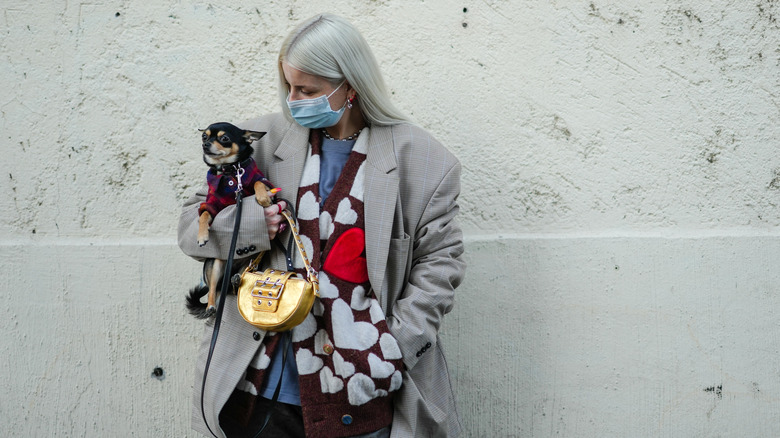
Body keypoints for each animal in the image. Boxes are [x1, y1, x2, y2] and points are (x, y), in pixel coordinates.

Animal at [187, 122, 278, 318]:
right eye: (204, 137)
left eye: (224, 138)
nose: (205, 144)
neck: (230, 171)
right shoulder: (212, 203)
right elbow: (204, 214)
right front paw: (201, 236)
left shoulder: (266, 184)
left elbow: (259, 183)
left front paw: (262, 198)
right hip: (215, 264)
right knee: (213, 288)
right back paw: (211, 306)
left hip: (253, 261)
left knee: (241, 279)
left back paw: (237, 279)